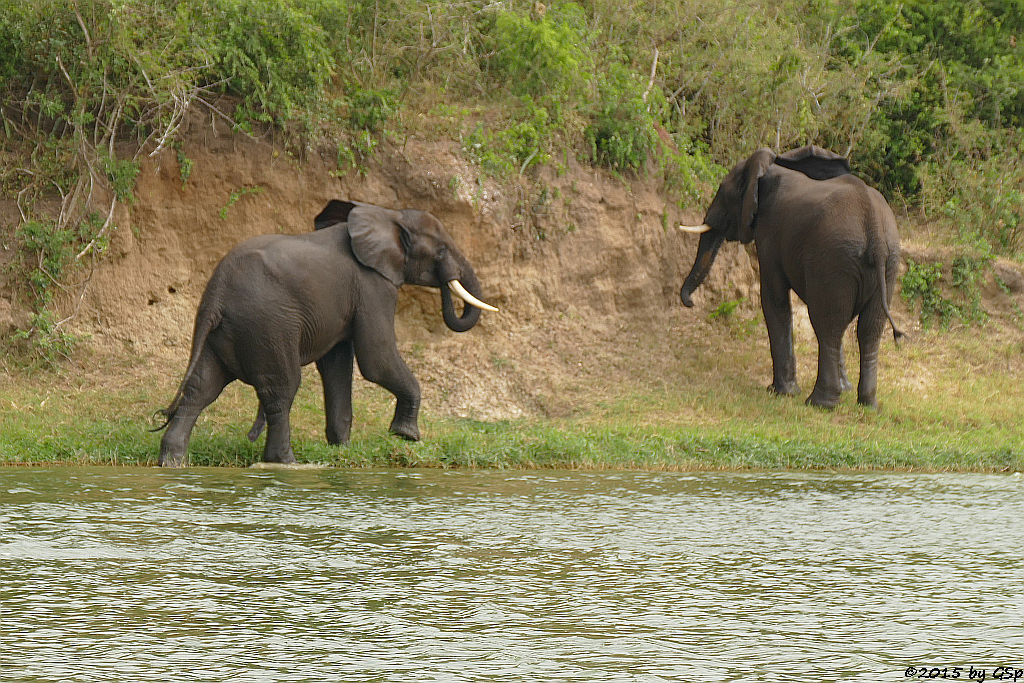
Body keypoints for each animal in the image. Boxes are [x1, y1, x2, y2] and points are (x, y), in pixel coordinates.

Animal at [152, 197, 499, 464]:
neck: (388, 215)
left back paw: (172, 462)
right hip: (267, 325)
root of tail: (216, 295)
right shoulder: (372, 286)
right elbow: (376, 359)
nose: (448, 277)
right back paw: (285, 462)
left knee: (201, 388)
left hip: (222, 331)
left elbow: (337, 365)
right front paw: (406, 436)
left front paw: (342, 451)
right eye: (440, 251)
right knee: (282, 390)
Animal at [684, 145, 901, 409]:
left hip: (833, 261)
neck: (768, 169)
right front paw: (844, 389)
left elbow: (773, 300)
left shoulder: (768, 234)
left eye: (722, 191)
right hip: (888, 264)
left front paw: (780, 392)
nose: (690, 302)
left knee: (827, 324)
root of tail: (874, 229)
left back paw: (819, 403)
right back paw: (867, 404)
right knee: (869, 329)